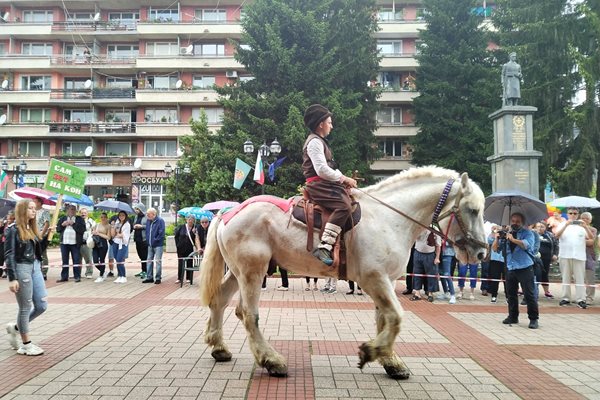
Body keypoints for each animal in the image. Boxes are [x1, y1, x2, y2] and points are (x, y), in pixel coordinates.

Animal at [199, 166, 490, 378]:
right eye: (472, 210)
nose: (481, 253)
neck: (389, 218)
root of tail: (229, 211)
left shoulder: (383, 281)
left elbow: (384, 319)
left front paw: (390, 361)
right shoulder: (374, 279)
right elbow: (396, 317)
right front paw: (371, 351)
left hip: (238, 272)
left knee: (220, 301)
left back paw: (220, 348)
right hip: (252, 271)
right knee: (249, 314)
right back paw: (271, 360)